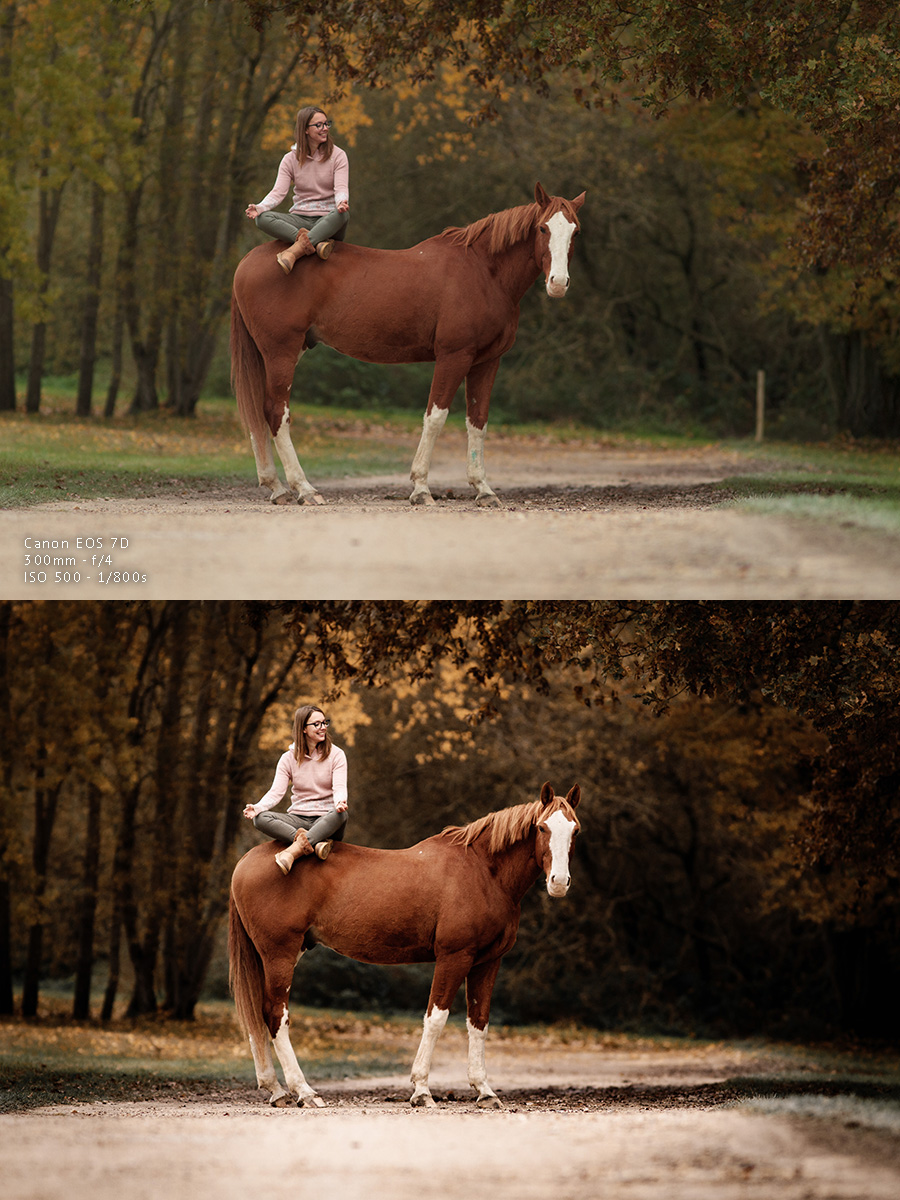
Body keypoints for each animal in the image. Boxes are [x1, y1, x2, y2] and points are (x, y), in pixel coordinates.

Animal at [229, 182, 588, 506]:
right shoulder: (454, 357)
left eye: (575, 232)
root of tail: (250, 260)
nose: (558, 283)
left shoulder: (487, 362)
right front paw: (421, 489)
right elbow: (435, 418)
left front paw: (484, 490)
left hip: (278, 353)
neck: (483, 272)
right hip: (281, 352)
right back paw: (304, 489)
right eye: (542, 227)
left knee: (260, 412)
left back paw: (276, 487)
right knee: (277, 412)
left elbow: (478, 421)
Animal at [230, 782, 585, 1108]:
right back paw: (304, 1091)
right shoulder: (454, 957)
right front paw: (421, 1090)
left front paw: (484, 1091)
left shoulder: (487, 962)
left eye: (575, 830)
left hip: (272, 956)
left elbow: (479, 1022)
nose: (559, 883)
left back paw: (276, 1090)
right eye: (542, 827)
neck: (483, 871)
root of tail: (248, 860)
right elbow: (436, 1019)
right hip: (279, 954)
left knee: (259, 1016)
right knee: (275, 1014)